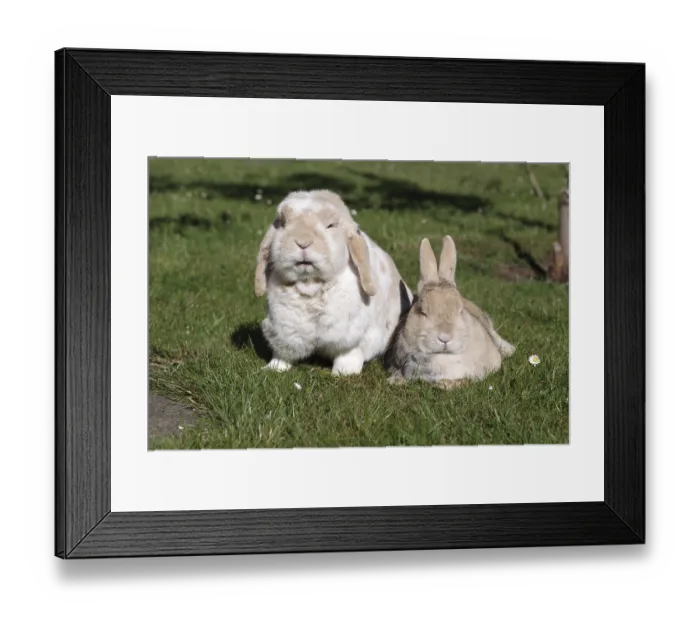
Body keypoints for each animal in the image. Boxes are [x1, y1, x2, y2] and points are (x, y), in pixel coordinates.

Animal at [255, 190, 413, 376]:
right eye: (282, 224)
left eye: (331, 225)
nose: (303, 242)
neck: (311, 285)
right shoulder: (284, 328)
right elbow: (283, 352)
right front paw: (274, 368)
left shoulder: (352, 334)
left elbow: (348, 353)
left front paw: (344, 372)